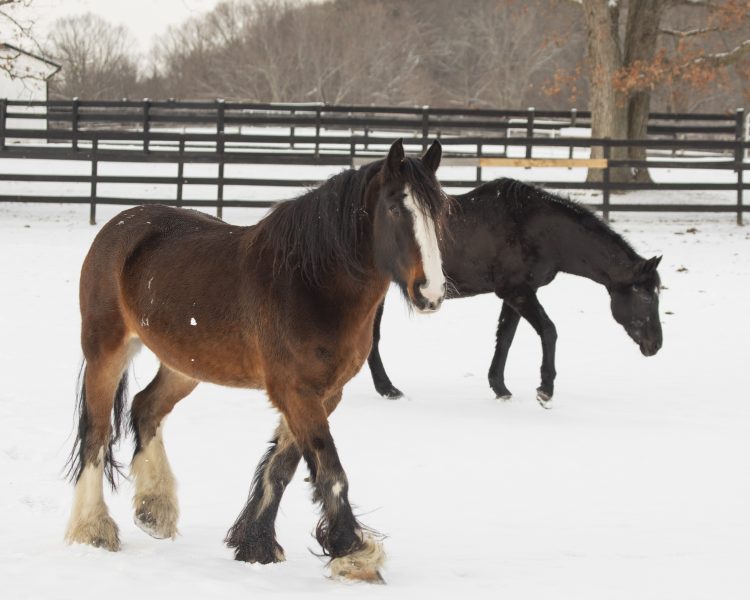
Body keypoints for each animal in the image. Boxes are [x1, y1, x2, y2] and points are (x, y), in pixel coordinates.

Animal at [64, 139, 448, 583]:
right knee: (96, 431)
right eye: (394, 207)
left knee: (146, 408)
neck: (311, 281)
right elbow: (330, 469)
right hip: (106, 351)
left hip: (184, 364)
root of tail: (118, 224)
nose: (430, 291)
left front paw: (255, 544)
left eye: (439, 211)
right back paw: (93, 528)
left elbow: (283, 465)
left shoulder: (325, 393)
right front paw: (354, 552)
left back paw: (154, 510)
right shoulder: (296, 390)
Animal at [367, 177, 662, 406]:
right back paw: (387, 389)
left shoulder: (516, 294)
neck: (539, 230)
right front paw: (545, 390)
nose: (656, 344)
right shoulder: (517, 292)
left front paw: (500, 388)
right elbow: (548, 331)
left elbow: (505, 338)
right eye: (646, 296)